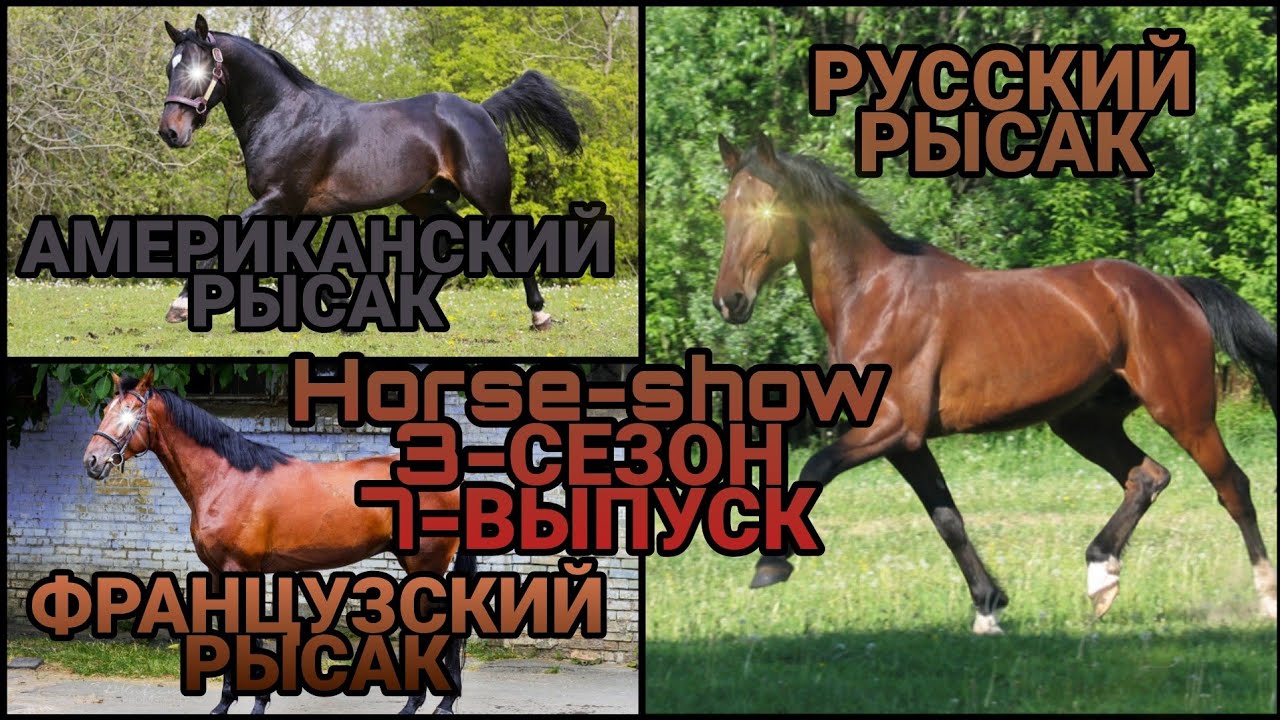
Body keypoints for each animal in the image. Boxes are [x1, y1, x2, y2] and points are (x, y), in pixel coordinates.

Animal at [82, 369, 473, 714]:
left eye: (130, 413)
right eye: (106, 409)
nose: (92, 461)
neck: (228, 478)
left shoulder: (241, 570)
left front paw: (256, 702)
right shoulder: (219, 573)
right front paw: (224, 703)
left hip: (427, 564)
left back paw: (427, 704)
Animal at [158, 14, 582, 331]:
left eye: (198, 70)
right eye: (169, 68)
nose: (170, 132)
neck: (284, 117)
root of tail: (481, 110)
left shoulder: (279, 199)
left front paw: (179, 306)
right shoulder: (288, 210)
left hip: (489, 196)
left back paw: (540, 315)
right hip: (421, 200)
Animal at [712, 133, 1278, 635]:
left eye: (768, 210)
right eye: (724, 211)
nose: (729, 301)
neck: (874, 297)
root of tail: (1173, 287)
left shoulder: (891, 427)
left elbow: (816, 467)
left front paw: (771, 564)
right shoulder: (906, 442)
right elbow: (947, 519)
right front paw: (989, 607)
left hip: (1184, 412)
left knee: (1233, 487)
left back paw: (1264, 596)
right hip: (1083, 421)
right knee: (1147, 477)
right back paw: (1101, 579)